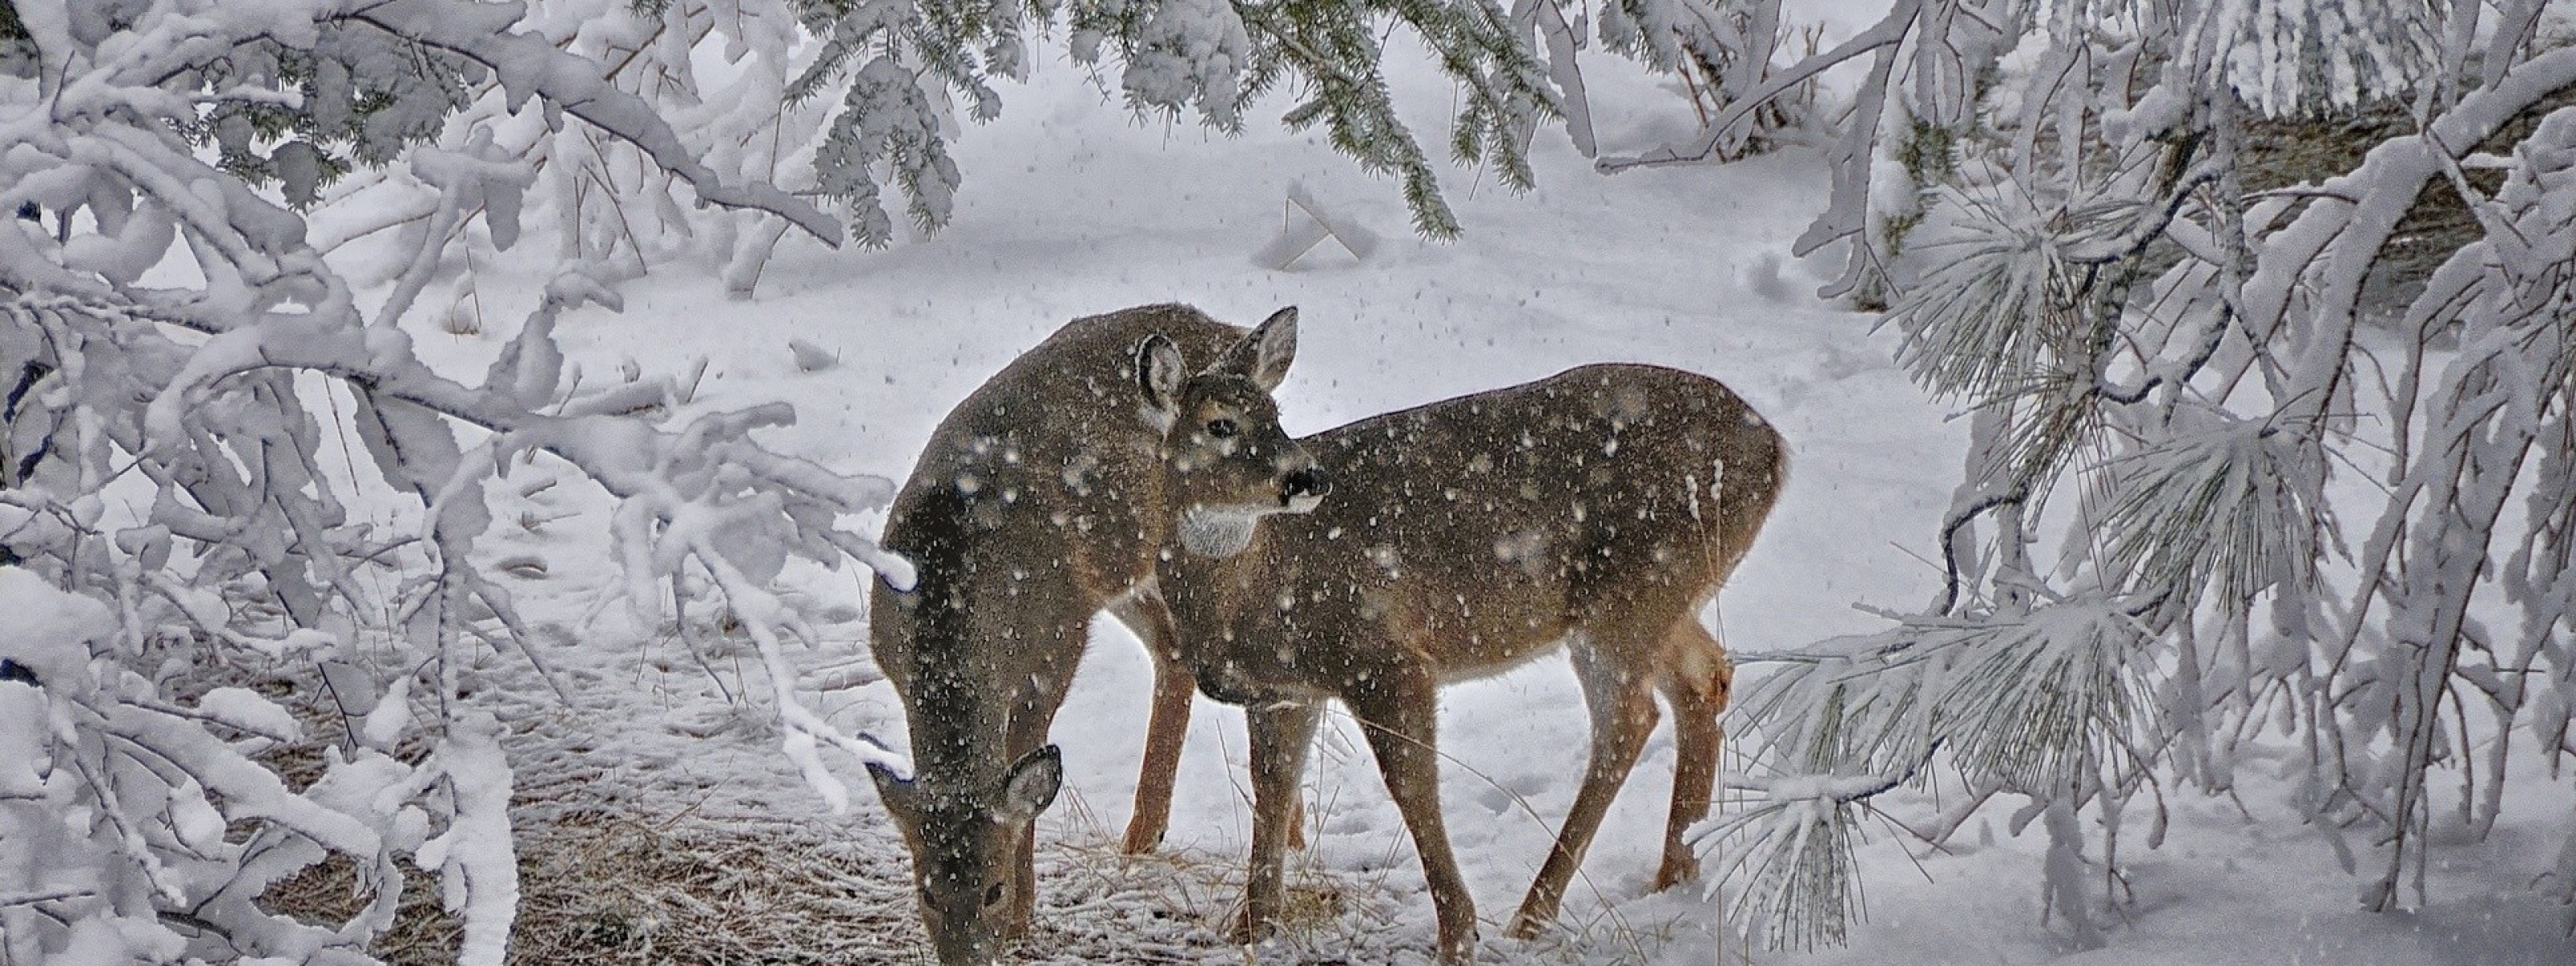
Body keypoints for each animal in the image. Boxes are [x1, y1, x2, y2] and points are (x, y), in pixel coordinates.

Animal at [865, 303, 1329, 966]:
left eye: (993, 889)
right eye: (926, 892)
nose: (966, 957)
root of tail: (1222, 329)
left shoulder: (1054, 649)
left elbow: (1027, 784)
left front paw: (1024, 918)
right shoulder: (891, 661)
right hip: (1126, 572)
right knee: (1173, 650)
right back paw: (1148, 834)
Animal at [1138, 357, 1782, 966]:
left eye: (1274, 414)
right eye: (1220, 424)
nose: (1307, 476)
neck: (1251, 585)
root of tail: (1775, 449)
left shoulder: (1383, 656)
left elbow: (1411, 783)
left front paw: (1458, 933)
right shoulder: (1285, 690)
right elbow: (1271, 787)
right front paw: (1250, 927)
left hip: (1633, 593)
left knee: (1630, 720)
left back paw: (1533, 914)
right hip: (1662, 598)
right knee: (1707, 677)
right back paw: (1676, 875)